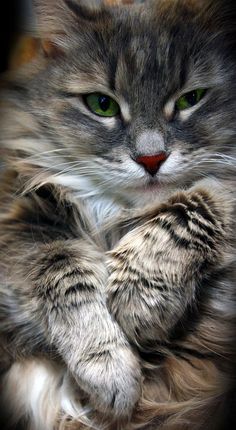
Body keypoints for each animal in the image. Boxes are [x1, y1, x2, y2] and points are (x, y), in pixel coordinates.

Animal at [0, 0, 235, 430]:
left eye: (191, 98)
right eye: (102, 105)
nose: (151, 159)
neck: (124, 211)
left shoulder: (221, 189)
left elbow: (190, 208)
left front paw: (139, 301)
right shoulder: (22, 216)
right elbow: (66, 277)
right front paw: (112, 374)